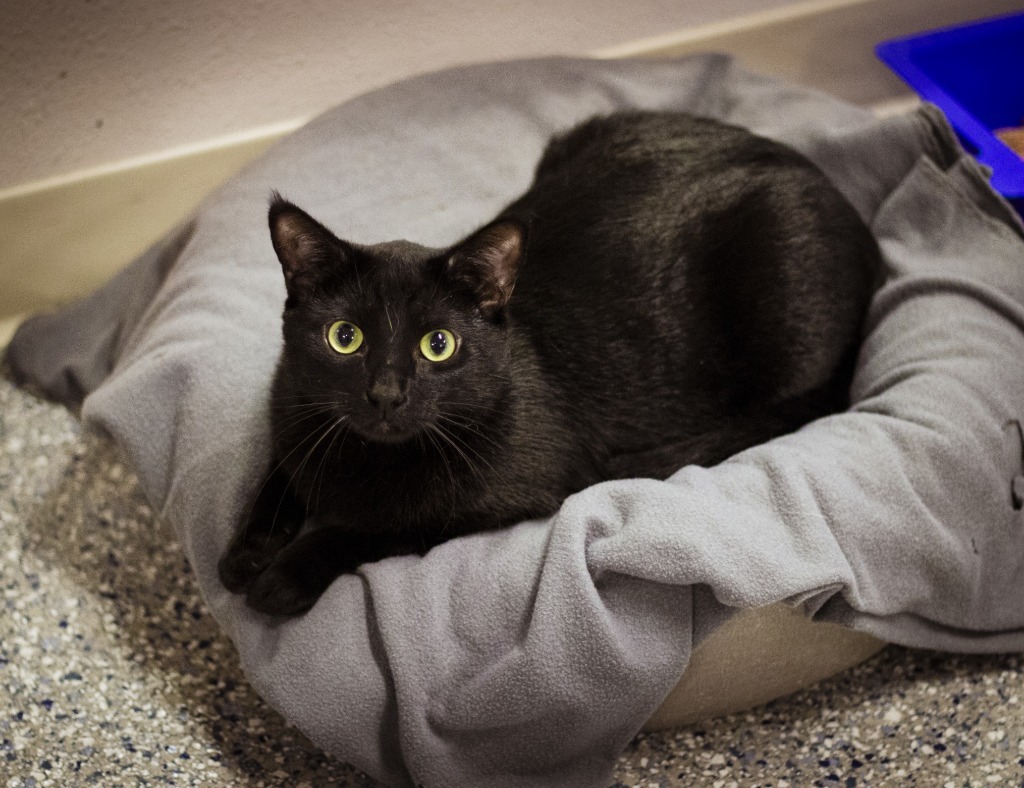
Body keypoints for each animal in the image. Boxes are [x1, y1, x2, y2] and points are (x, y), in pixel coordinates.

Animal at [216, 110, 880, 614]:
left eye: (439, 345)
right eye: (344, 338)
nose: (385, 393)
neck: (368, 459)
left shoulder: (517, 493)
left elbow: (384, 526)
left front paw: (284, 574)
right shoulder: (295, 410)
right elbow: (280, 471)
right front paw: (246, 552)